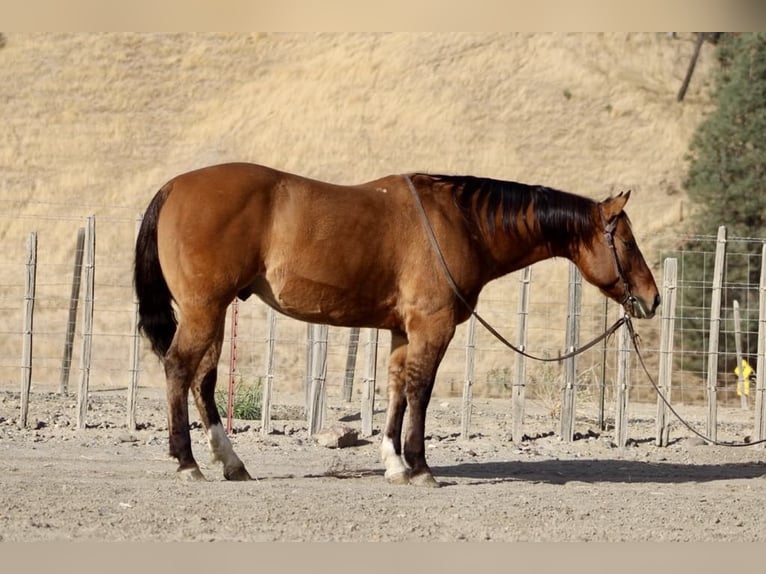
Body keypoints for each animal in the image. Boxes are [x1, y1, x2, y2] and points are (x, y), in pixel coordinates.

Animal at [134, 162, 660, 486]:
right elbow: (420, 392)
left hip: (215, 314)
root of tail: (174, 186)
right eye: (627, 242)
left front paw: (394, 462)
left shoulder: (402, 332)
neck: (462, 222)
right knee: (179, 370)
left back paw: (231, 462)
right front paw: (421, 467)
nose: (652, 299)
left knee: (202, 380)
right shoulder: (433, 327)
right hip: (204, 311)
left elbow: (396, 392)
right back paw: (187, 462)